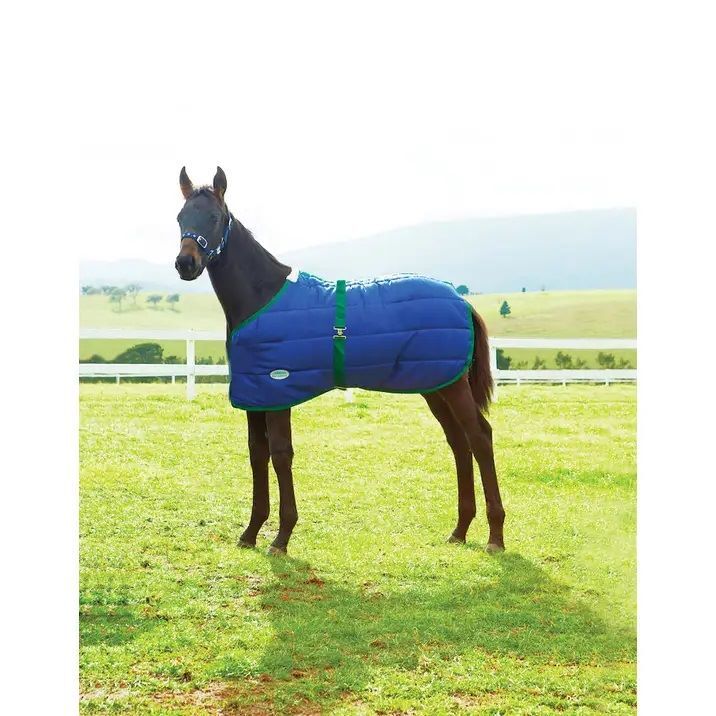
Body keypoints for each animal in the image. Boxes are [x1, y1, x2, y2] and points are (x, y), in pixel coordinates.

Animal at [174, 166, 506, 556]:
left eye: (214, 217)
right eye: (180, 217)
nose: (185, 263)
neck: (263, 297)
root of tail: (462, 300)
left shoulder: (278, 392)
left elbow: (281, 454)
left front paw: (281, 538)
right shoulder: (255, 396)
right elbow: (258, 454)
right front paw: (251, 532)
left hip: (453, 387)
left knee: (480, 437)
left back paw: (495, 537)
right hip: (435, 386)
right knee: (459, 443)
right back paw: (459, 530)